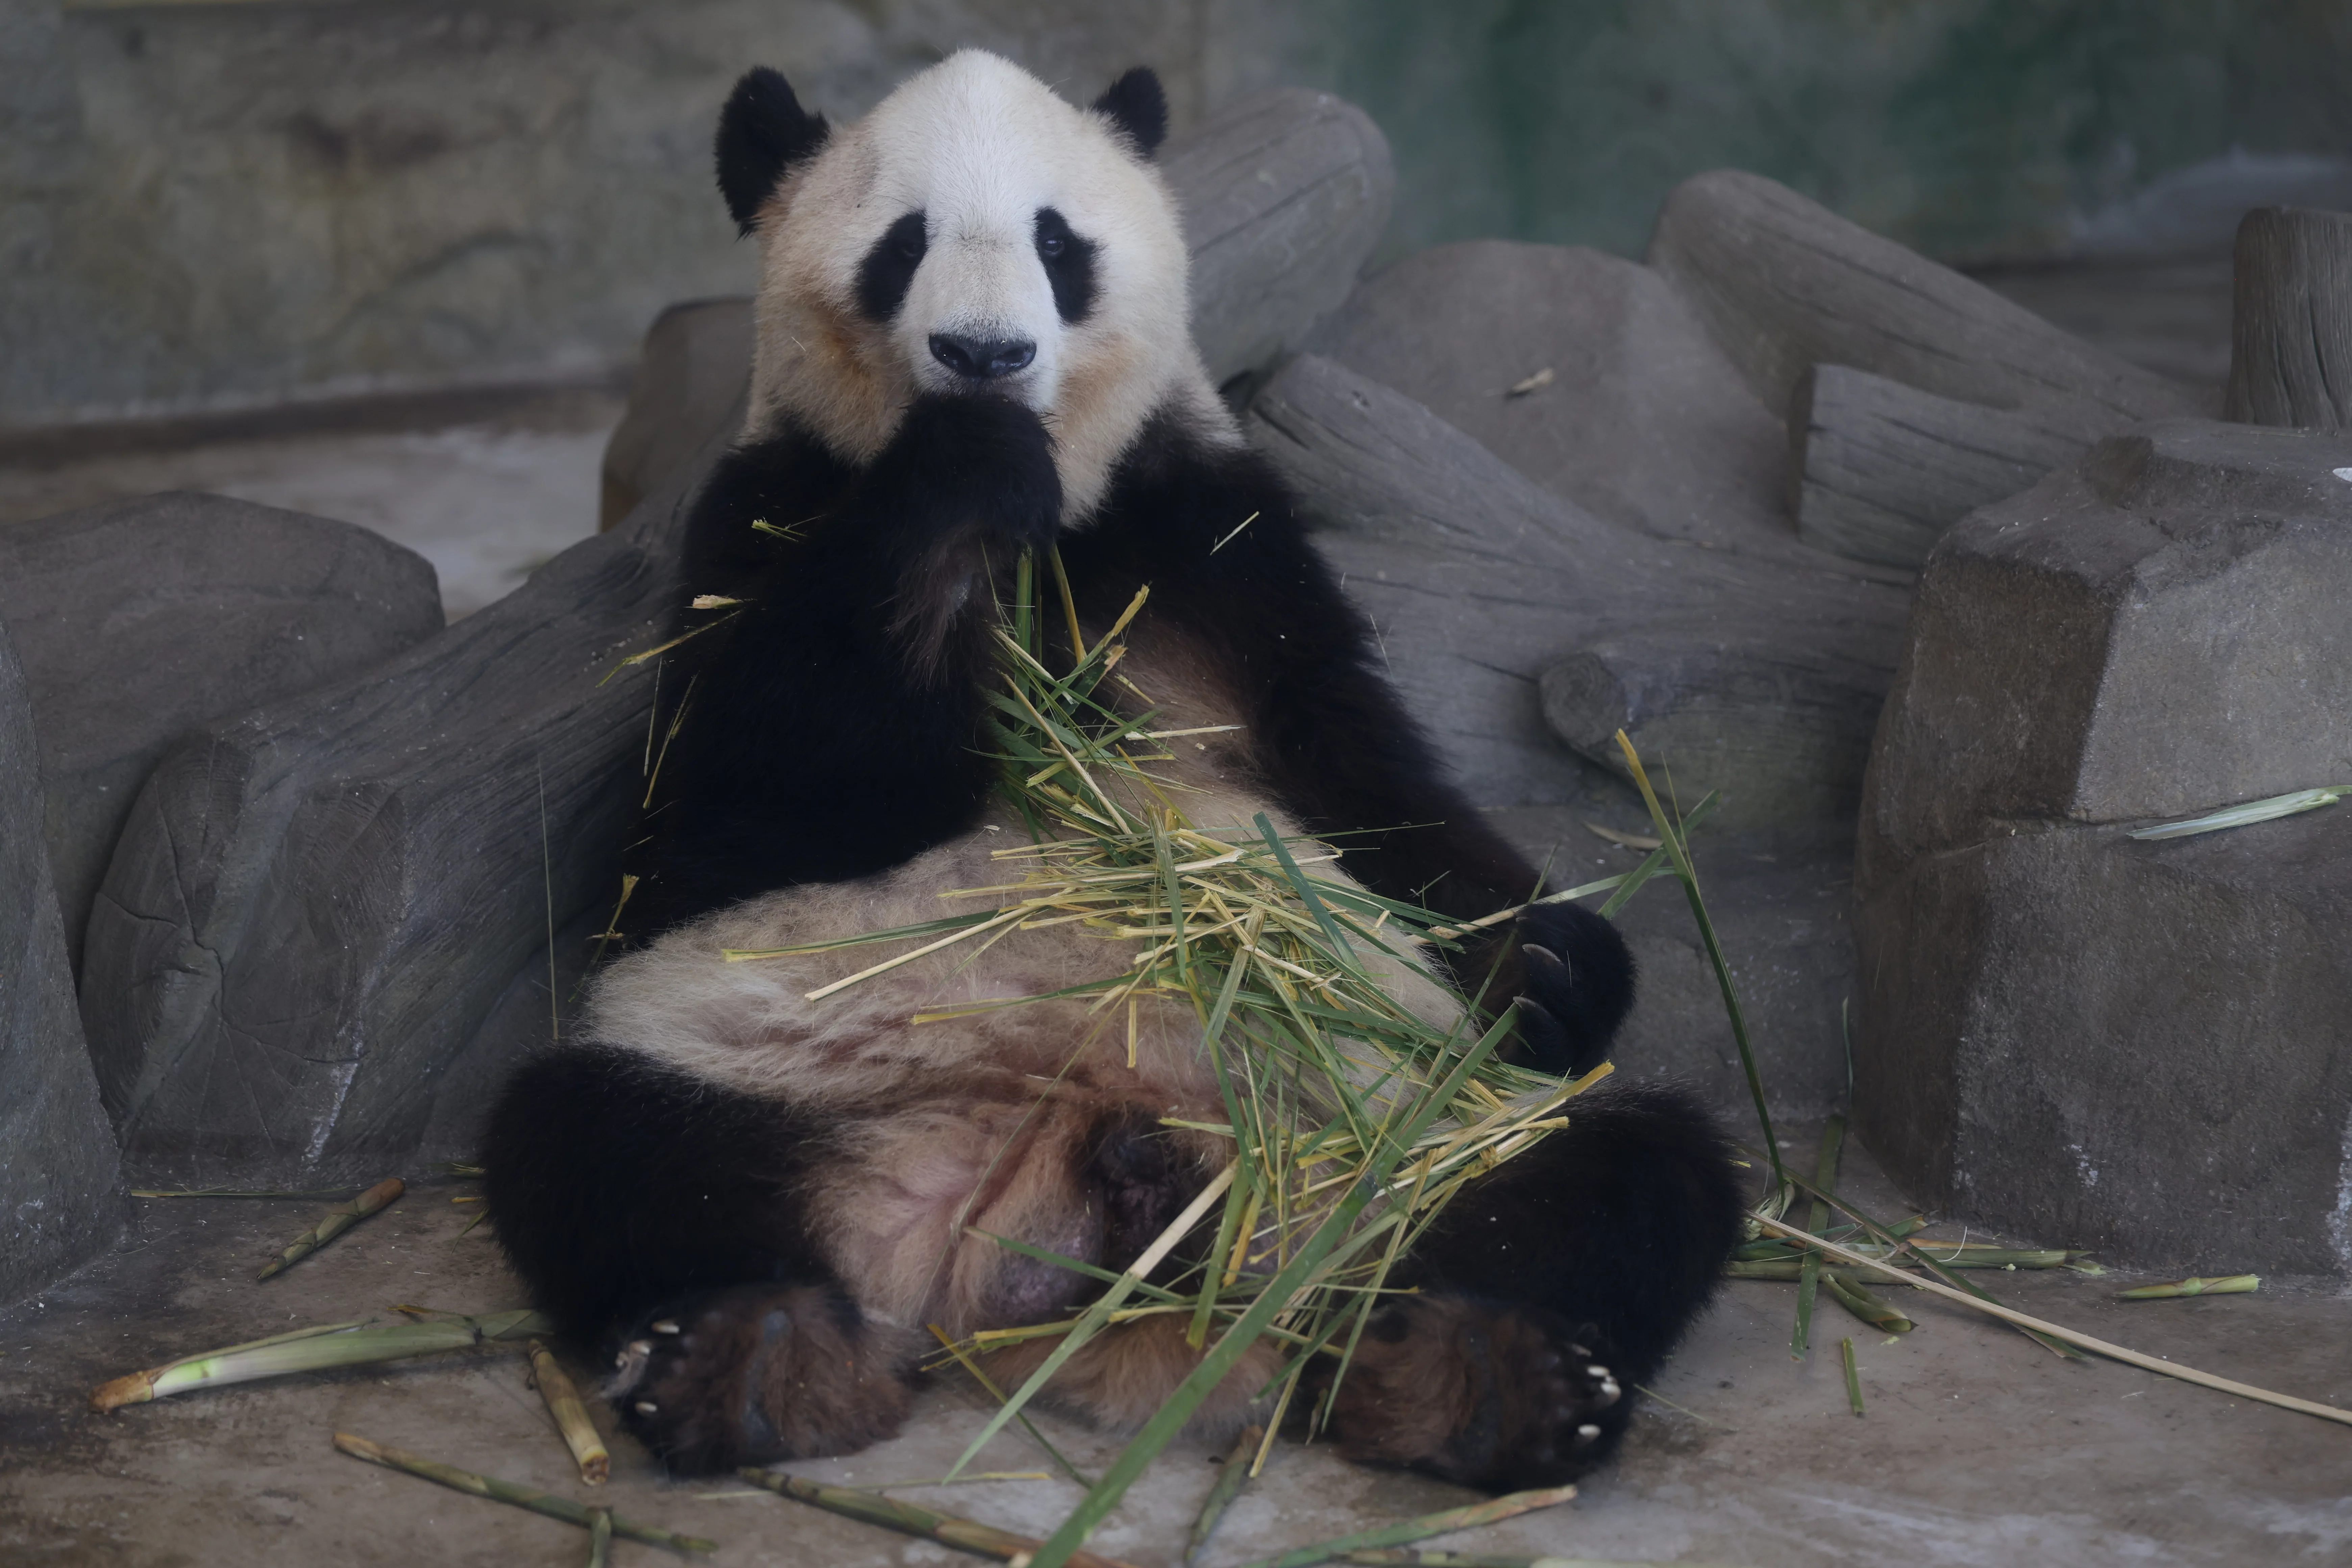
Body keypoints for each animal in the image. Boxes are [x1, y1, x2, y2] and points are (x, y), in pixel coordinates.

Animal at [484, 50, 1744, 1491]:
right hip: (773, 1087)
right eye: (903, 243)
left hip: (1398, 1130)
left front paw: (1542, 957)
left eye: (1056, 243)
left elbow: (1368, 776)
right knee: (597, 1143)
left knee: (1616, 1162)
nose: (985, 357)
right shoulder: (757, 525)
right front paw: (963, 473)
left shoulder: (1215, 543)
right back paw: (747, 1355)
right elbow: (750, 812)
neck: (1053, 517)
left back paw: (1485, 1371)